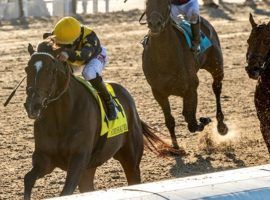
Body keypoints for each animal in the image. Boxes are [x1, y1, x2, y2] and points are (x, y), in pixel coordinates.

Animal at [23, 41, 175, 199]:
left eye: (51, 70)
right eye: (27, 69)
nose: (33, 105)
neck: (62, 117)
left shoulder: (78, 159)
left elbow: (66, 190)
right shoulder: (45, 158)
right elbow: (28, 179)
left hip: (131, 159)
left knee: (134, 177)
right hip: (90, 168)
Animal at [142, 0, 227, 148]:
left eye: (164, 2)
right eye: (146, 2)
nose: (154, 23)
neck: (164, 57)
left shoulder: (191, 89)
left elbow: (191, 122)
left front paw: (204, 120)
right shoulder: (158, 92)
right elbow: (170, 120)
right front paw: (175, 146)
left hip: (216, 66)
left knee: (216, 88)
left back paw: (221, 125)